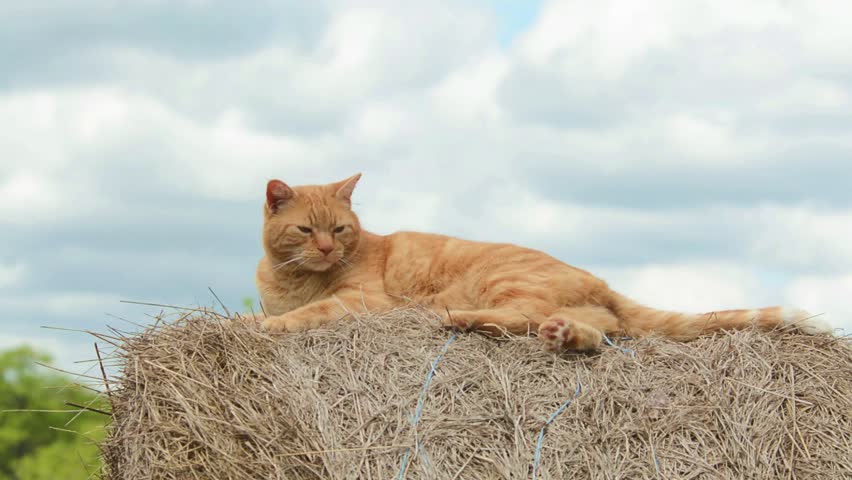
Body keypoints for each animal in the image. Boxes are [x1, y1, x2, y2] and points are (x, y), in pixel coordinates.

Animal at [256, 174, 828, 350]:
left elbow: (305, 316)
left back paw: (453, 317)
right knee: (597, 331)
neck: (294, 279)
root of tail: (600, 279)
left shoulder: (361, 301)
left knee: (522, 316)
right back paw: (567, 336)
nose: (327, 249)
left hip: (503, 278)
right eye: (307, 230)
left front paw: (260, 326)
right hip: (581, 313)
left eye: (340, 230)